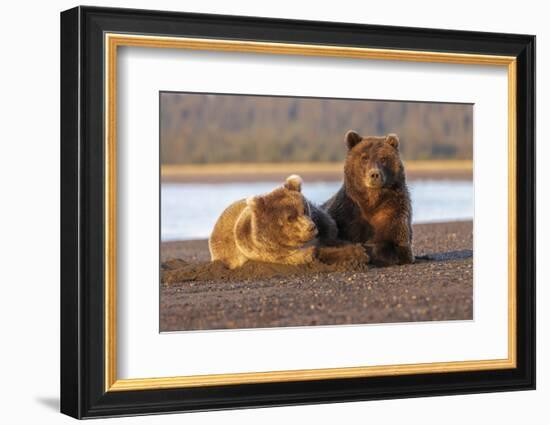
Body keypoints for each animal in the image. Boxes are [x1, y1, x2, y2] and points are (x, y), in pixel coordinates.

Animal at [324, 129, 414, 264]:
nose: (374, 174)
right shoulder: (347, 214)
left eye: (383, 158)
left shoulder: (394, 210)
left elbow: (396, 244)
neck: (371, 200)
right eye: (364, 158)